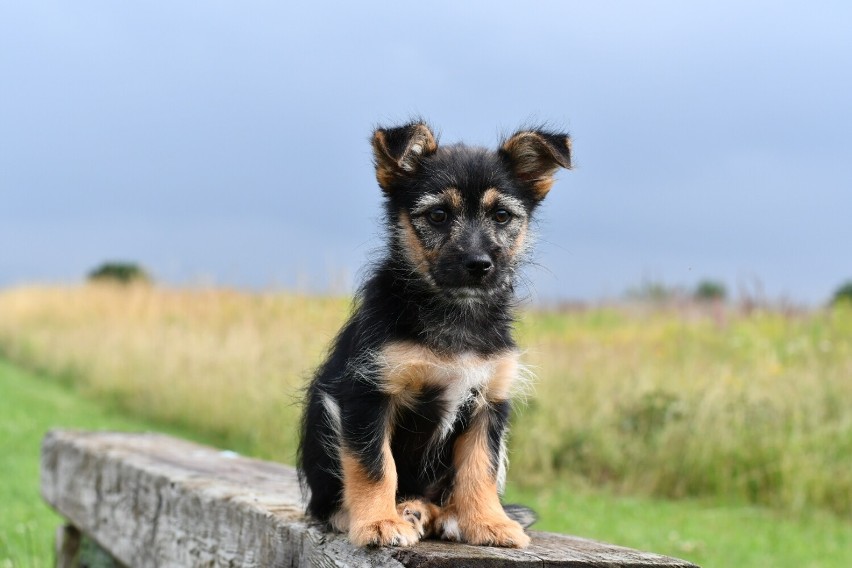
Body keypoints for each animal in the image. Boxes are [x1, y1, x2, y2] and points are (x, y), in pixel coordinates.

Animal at [300, 122, 572, 548]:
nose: (479, 264)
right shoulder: (367, 392)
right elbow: (374, 465)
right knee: (325, 503)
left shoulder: (489, 402)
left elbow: (479, 469)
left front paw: (487, 522)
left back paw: (434, 512)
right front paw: (378, 521)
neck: (454, 312)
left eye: (501, 215)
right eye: (439, 215)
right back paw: (374, 513)